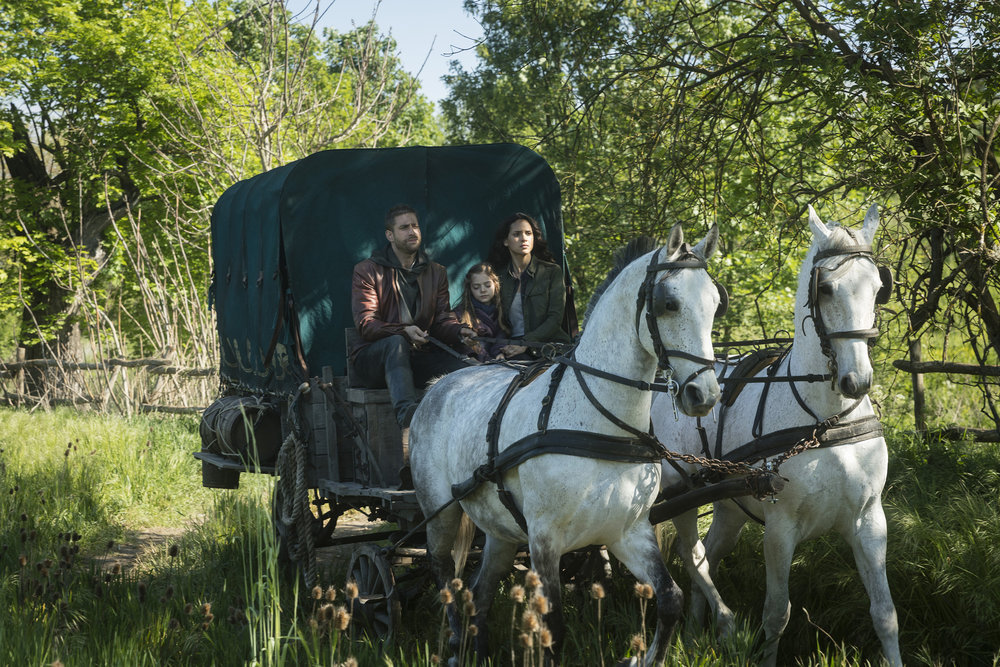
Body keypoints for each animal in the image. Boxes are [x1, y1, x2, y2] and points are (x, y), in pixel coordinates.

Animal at [410, 227, 724, 664]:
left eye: (715, 303)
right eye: (669, 303)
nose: (704, 395)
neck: (598, 423)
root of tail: (439, 384)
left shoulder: (628, 531)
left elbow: (670, 599)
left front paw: (645, 656)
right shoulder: (545, 540)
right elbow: (554, 629)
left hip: (502, 534)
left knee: (480, 590)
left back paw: (479, 647)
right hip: (440, 512)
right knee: (444, 574)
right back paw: (456, 644)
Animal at [652, 205, 904, 667]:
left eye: (879, 288)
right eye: (826, 289)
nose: (857, 381)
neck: (824, 422)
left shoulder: (869, 520)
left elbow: (884, 613)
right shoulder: (780, 529)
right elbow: (777, 614)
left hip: (729, 510)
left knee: (707, 557)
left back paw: (696, 632)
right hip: (680, 496)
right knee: (692, 557)